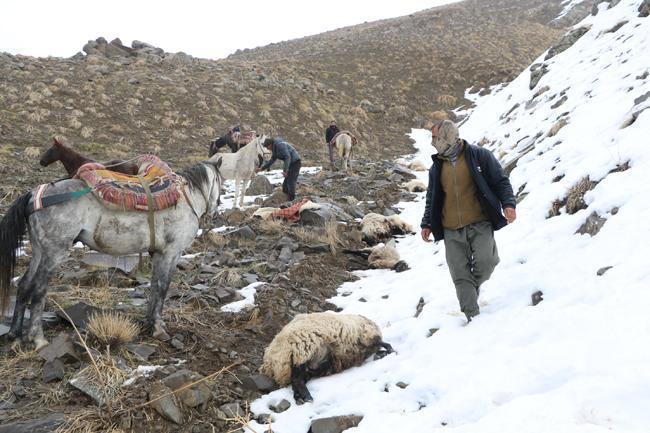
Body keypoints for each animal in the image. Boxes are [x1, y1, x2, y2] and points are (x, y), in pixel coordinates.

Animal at [0, 159, 223, 348]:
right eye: (220, 183)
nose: (216, 209)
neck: (186, 199)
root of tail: (34, 195)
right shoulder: (171, 254)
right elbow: (162, 288)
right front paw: (158, 329)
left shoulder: (159, 254)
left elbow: (154, 288)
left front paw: (150, 324)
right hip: (53, 253)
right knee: (38, 290)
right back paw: (38, 339)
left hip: (40, 251)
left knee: (24, 286)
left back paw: (14, 334)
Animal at [260, 314, 392, 402]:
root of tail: (269, 362)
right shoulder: (366, 336)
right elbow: (383, 343)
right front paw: (389, 351)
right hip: (302, 351)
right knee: (297, 379)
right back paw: (307, 397)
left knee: (297, 379)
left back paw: (299, 397)